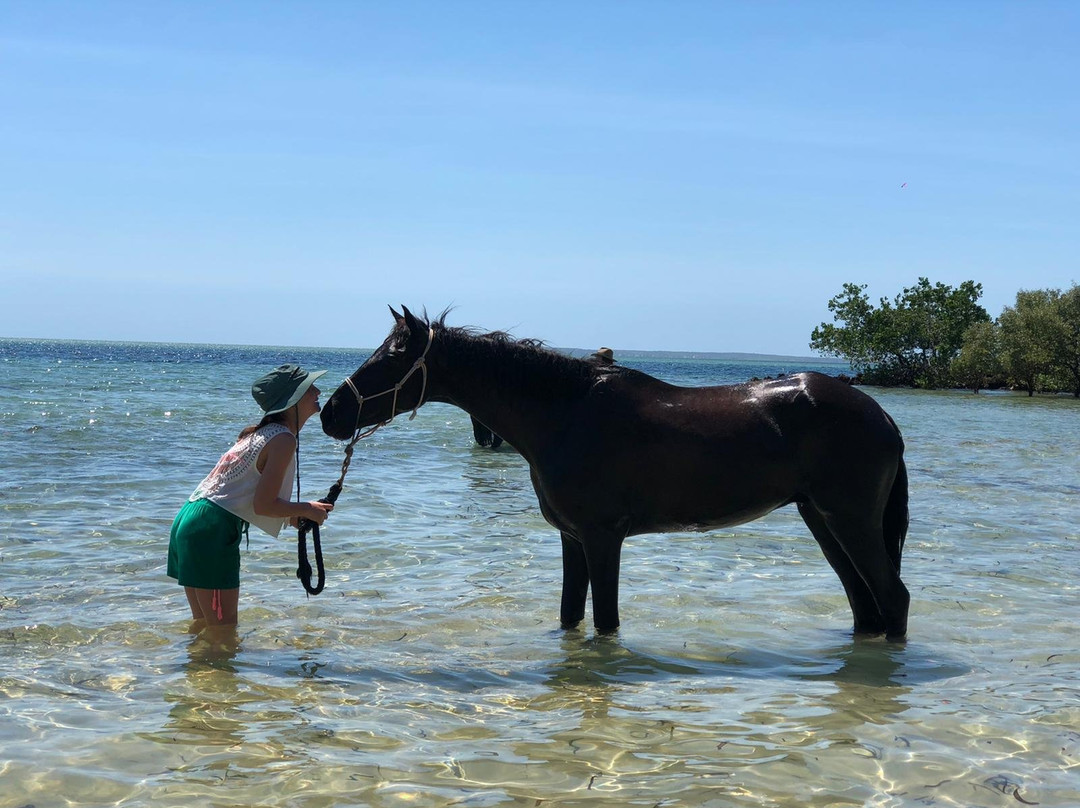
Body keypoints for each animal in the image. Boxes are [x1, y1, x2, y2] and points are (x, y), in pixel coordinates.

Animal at [321, 306, 911, 639]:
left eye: (392, 356)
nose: (330, 414)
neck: (565, 413)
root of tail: (880, 415)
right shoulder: (572, 538)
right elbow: (570, 617)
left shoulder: (603, 536)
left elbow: (605, 621)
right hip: (821, 520)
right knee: (865, 606)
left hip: (849, 520)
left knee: (893, 598)